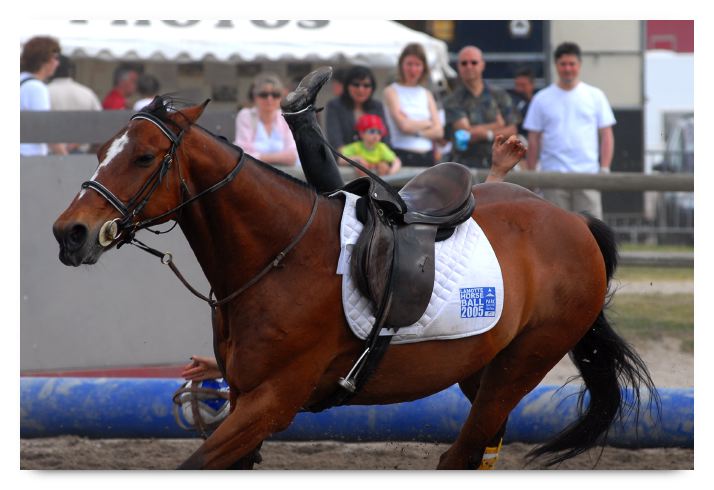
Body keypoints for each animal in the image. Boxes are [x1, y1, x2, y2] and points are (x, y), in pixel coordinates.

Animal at [52, 97, 657, 470]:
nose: (69, 232)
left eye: (144, 156)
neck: (279, 256)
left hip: (519, 367)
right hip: (479, 370)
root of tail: (571, 221)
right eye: (102, 149)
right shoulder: (244, 399)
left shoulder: (271, 402)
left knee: (459, 455)